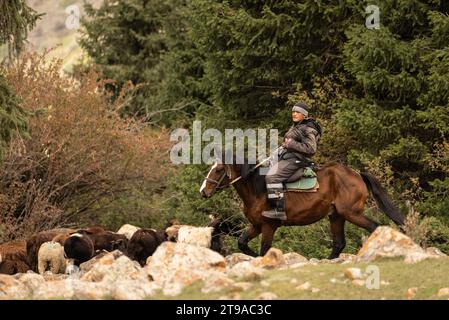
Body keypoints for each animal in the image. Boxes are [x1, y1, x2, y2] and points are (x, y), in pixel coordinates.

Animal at [200, 159, 402, 258]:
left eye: (218, 170)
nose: (203, 191)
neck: (258, 189)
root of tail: (357, 174)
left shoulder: (268, 226)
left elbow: (265, 249)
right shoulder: (256, 225)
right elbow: (242, 243)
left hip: (352, 213)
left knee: (374, 227)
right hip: (336, 216)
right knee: (339, 243)